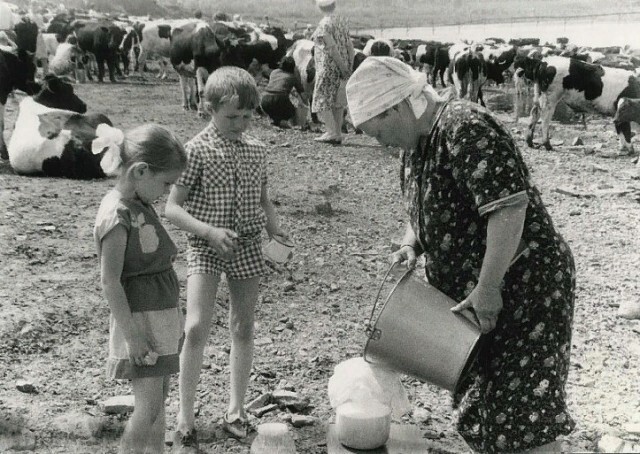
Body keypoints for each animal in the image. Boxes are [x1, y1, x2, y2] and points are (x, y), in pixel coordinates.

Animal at [512, 55, 640, 152]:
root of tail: (543, 62)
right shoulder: (621, 114)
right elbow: (626, 131)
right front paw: (630, 149)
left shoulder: (617, 114)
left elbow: (620, 130)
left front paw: (624, 148)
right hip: (550, 97)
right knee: (545, 118)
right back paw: (548, 145)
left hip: (538, 94)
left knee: (534, 114)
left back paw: (530, 142)